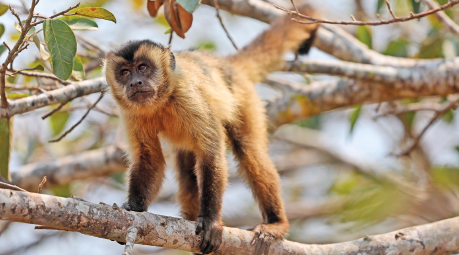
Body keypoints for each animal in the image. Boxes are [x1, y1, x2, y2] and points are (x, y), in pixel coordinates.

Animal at [104, 4, 320, 254]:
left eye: (143, 68)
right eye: (125, 73)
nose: (135, 83)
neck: (162, 101)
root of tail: (223, 64)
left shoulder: (188, 96)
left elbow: (211, 154)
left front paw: (210, 221)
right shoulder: (130, 113)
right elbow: (148, 158)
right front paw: (134, 207)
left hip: (242, 96)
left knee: (248, 149)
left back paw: (276, 223)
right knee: (186, 168)